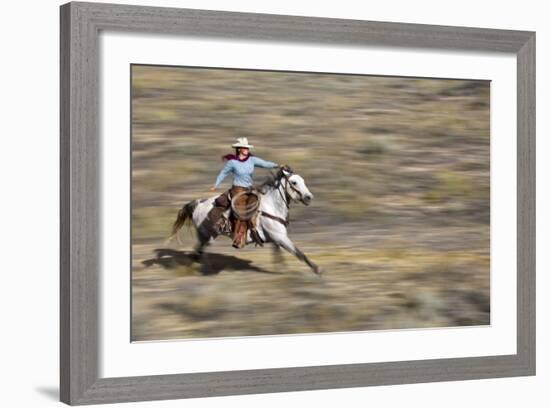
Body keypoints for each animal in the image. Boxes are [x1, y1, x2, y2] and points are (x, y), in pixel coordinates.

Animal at [170, 167, 322, 276]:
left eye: (303, 181)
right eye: (294, 182)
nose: (309, 197)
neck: (272, 207)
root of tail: (197, 203)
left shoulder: (276, 239)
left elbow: (278, 256)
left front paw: (282, 270)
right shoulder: (281, 238)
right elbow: (299, 253)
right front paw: (317, 270)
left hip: (207, 236)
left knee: (198, 252)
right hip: (206, 236)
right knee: (200, 253)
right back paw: (205, 270)